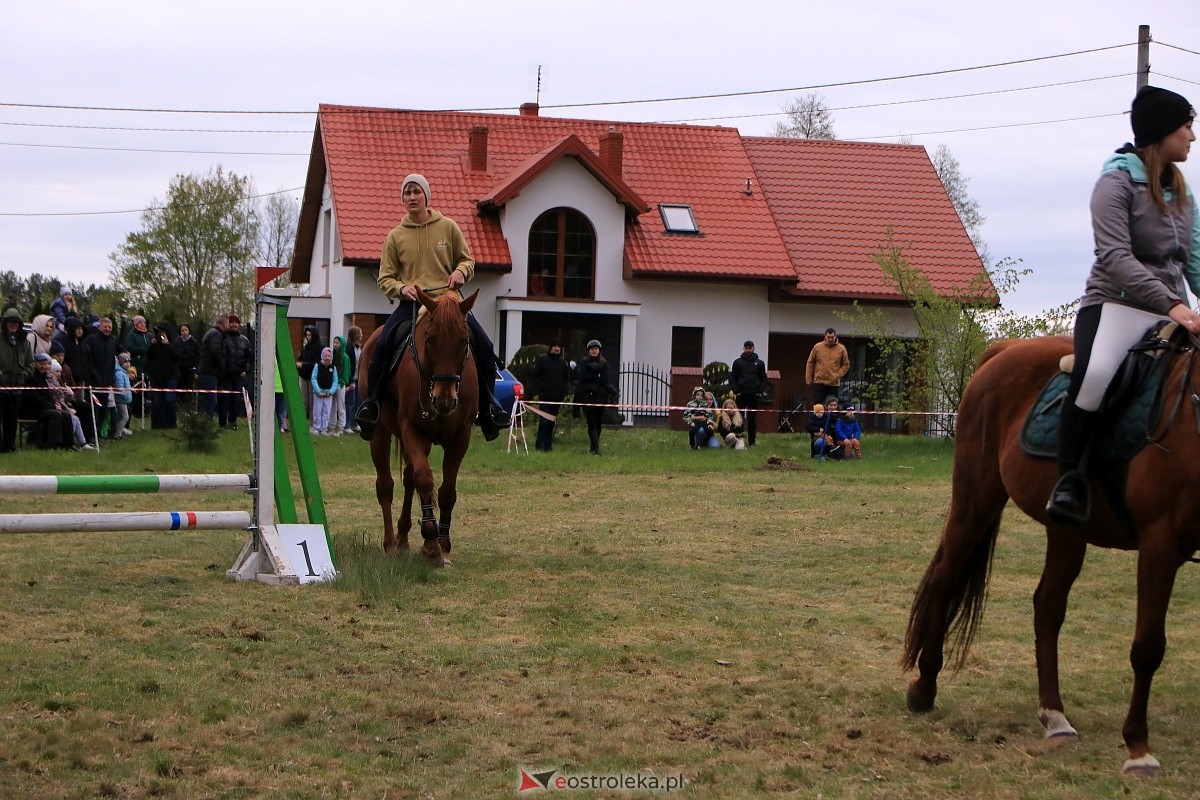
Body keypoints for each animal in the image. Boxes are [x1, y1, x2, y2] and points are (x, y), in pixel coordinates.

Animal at [355, 287, 477, 563]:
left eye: (464, 342)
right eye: (430, 340)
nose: (444, 400)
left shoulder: (461, 436)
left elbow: (447, 491)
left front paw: (443, 544)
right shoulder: (411, 428)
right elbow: (424, 479)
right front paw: (431, 544)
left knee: (408, 479)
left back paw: (402, 538)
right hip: (380, 433)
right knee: (386, 485)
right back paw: (390, 543)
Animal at [902, 335, 1200, 777]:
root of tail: (1005, 350)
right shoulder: (1160, 544)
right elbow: (1148, 646)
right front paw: (1137, 747)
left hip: (1065, 529)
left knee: (1047, 606)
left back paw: (1054, 715)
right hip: (975, 503)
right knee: (944, 582)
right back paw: (924, 687)